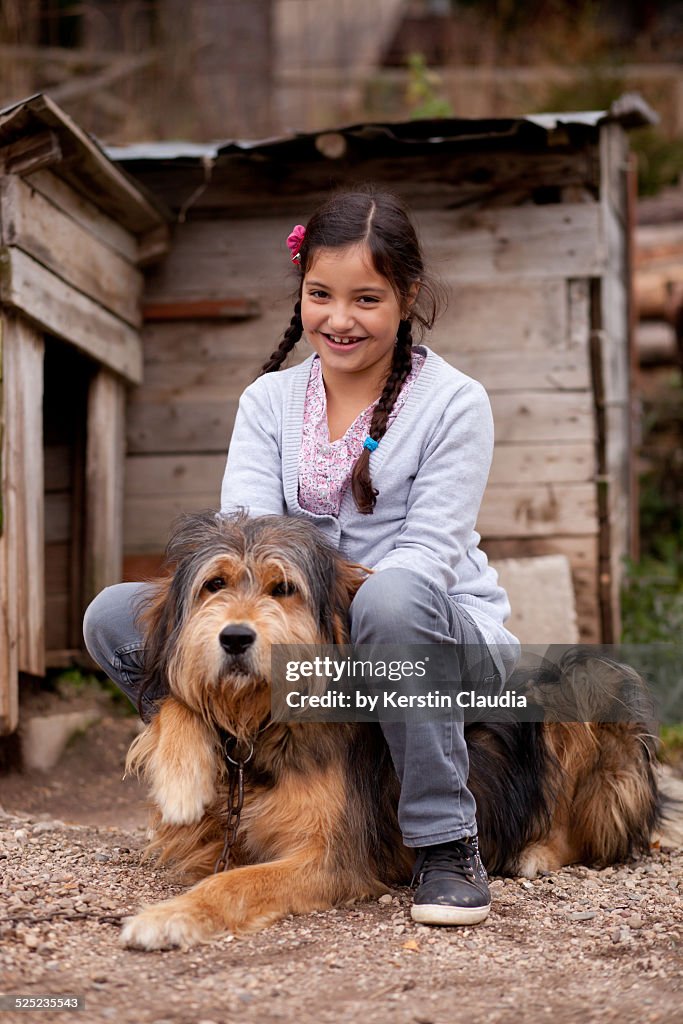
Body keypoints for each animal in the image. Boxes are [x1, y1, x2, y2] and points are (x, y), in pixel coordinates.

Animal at [120, 512, 659, 950]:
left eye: (283, 589)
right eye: (214, 584)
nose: (234, 638)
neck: (262, 725)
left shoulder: (332, 856)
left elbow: (233, 884)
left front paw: (168, 918)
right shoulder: (213, 837)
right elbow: (179, 702)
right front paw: (180, 782)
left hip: (587, 682)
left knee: (597, 834)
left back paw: (536, 852)